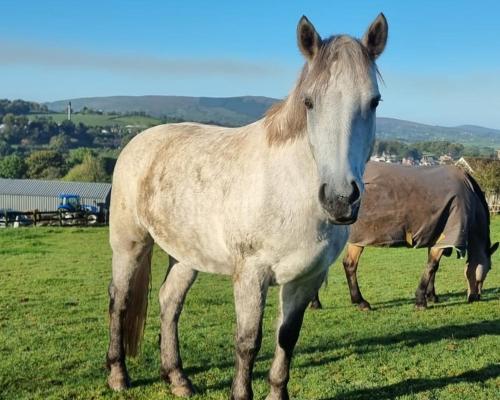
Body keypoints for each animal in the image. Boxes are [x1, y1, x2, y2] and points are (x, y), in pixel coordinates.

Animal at [106, 13, 386, 400]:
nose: (340, 198)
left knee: (169, 302)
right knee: (118, 302)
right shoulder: (252, 274)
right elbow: (248, 341)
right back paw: (118, 374)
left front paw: (277, 391)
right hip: (129, 245)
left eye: (373, 101)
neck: (288, 189)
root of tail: (140, 141)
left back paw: (177, 378)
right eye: (309, 102)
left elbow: (287, 338)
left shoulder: (305, 278)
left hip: (186, 255)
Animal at [310, 161, 498, 310]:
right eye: (489, 268)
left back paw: (316, 303)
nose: (476, 297)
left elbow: (432, 267)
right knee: (348, 265)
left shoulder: (436, 235)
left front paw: (432, 296)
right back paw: (360, 302)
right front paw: (421, 301)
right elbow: (432, 266)